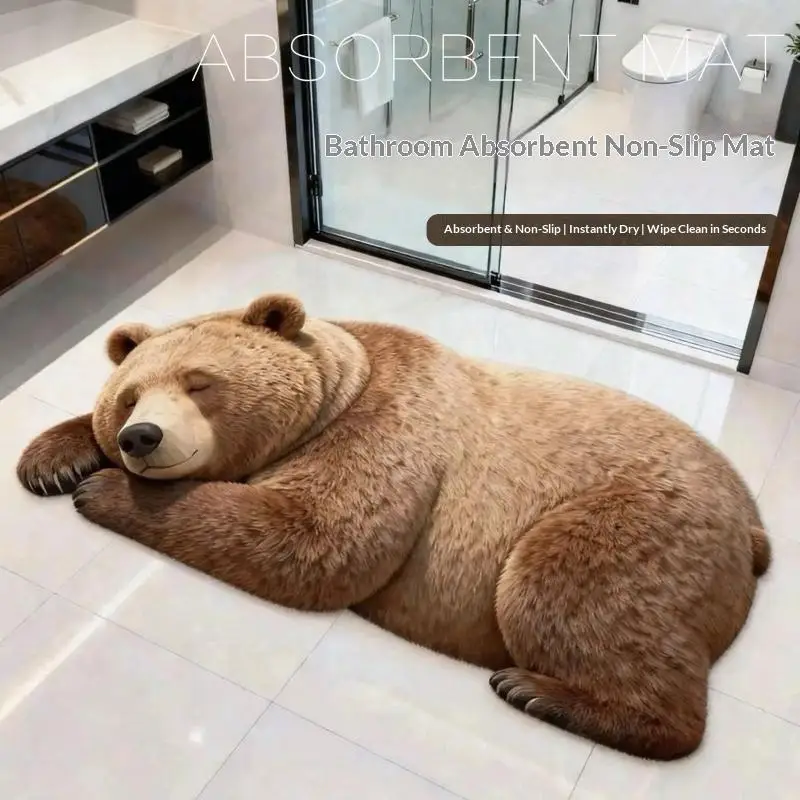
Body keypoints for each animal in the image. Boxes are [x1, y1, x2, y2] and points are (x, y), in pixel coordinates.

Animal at [17, 292, 771, 761]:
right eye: (128, 396)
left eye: (201, 382)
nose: (141, 437)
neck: (334, 392)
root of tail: (753, 525)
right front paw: (48, 462)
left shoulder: (389, 424)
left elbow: (315, 537)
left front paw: (102, 491)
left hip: (640, 520)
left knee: (566, 590)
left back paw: (540, 691)